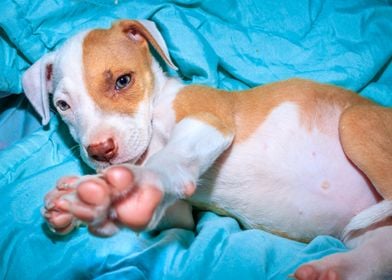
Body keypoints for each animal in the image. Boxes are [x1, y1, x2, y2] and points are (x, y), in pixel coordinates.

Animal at [22, 19, 392, 280]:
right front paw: (82, 201)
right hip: (369, 237)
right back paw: (328, 271)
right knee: (374, 258)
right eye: (63, 105)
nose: (100, 150)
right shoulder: (178, 214)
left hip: (354, 124)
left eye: (123, 81)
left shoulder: (209, 120)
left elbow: (166, 160)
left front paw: (135, 184)